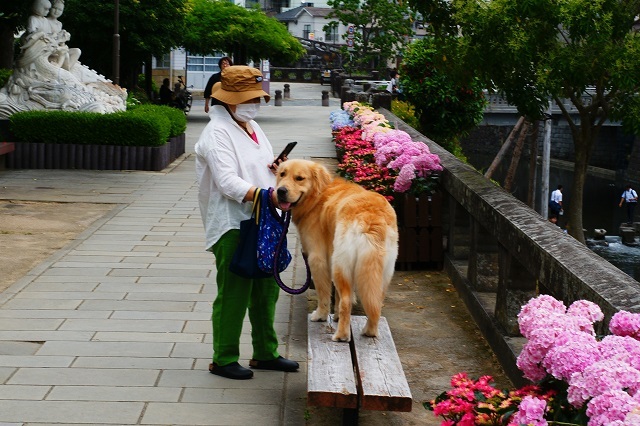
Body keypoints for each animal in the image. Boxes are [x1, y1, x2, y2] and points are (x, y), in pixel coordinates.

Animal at [276, 158, 398, 342]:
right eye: (282, 174)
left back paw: (341, 335)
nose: (280, 191)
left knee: (347, 301)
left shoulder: (317, 259)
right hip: (382, 272)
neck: (318, 195)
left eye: (299, 178)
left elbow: (324, 293)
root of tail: (371, 218)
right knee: (375, 303)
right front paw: (336, 317)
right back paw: (369, 331)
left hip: (339, 265)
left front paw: (321, 315)